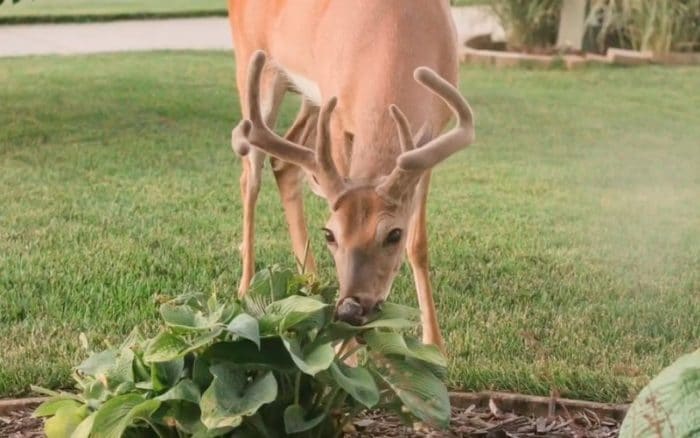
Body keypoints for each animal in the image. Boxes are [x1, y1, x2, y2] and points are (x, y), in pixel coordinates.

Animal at [230, 0, 476, 350]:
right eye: (329, 234)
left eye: (394, 234)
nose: (349, 309)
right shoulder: (336, 117)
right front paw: (345, 351)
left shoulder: (431, 139)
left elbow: (419, 246)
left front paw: (434, 345)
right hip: (252, 62)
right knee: (250, 175)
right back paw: (245, 288)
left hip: (307, 97)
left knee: (284, 165)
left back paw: (312, 287)